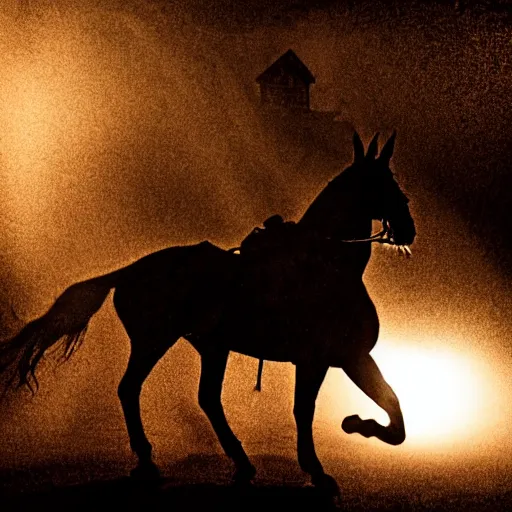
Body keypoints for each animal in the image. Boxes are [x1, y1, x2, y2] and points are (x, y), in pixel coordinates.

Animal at [0, 130, 416, 494]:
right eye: (385, 182)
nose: (408, 229)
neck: (326, 264)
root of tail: (129, 271)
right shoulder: (325, 360)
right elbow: (314, 410)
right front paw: (336, 447)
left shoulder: (350, 357)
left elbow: (393, 410)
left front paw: (355, 429)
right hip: (155, 342)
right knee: (131, 388)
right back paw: (149, 460)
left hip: (211, 347)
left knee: (208, 399)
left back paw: (240, 463)